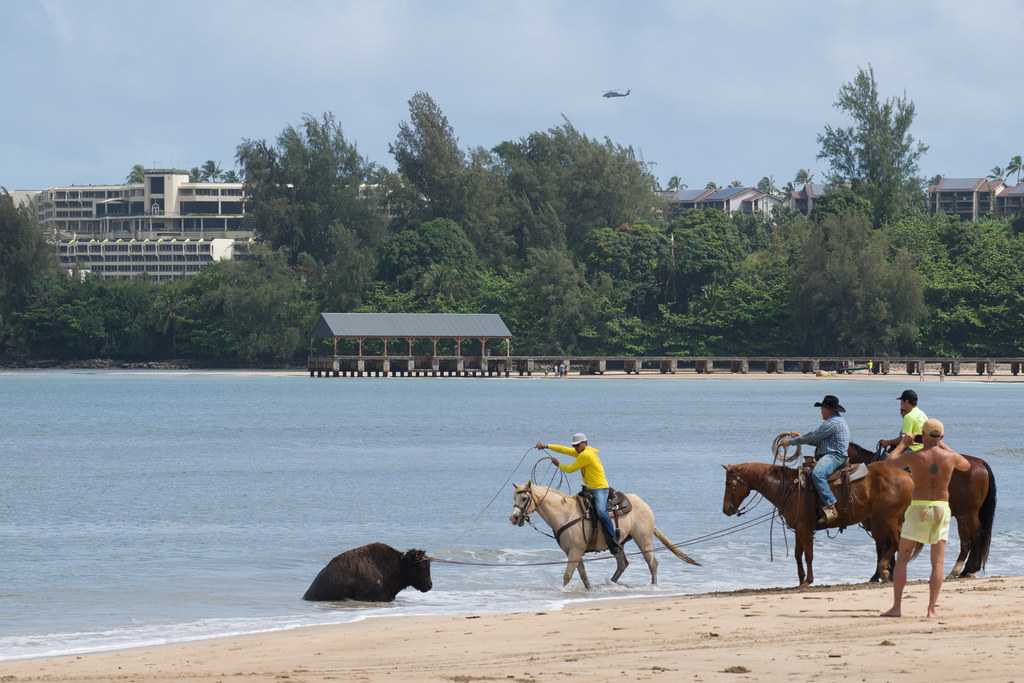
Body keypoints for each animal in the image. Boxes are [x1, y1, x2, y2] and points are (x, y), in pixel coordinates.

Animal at [509, 481, 700, 589]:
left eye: (524, 498)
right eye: (514, 498)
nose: (514, 517)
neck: (565, 513)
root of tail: (644, 505)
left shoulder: (575, 552)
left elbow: (567, 576)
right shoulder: (574, 552)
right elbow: (583, 576)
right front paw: (589, 590)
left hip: (643, 540)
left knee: (652, 564)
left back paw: (653, 586)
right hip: (617, 544)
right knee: (623, 564)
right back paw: (611, 583)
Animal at [720, 462, 913, 585]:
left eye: (729, 483)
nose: (726, 509)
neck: (788, 488)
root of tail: (906, 474)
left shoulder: (805, 528)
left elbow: (808, 554)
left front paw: (809, 580)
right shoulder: (798, 529)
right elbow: (798, 554)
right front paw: (801, 579)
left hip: (889, 519)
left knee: (895, 544)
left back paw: (885, 571)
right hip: (887, 520)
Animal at [851, 440, 995, 581]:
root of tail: (980, 463)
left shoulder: (880, 522)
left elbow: (882, 547)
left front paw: (879, 575)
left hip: (968, 514)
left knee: (975, 536)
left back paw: (967, 569)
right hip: (963, 515)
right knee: (968, 539)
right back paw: (962, 571)